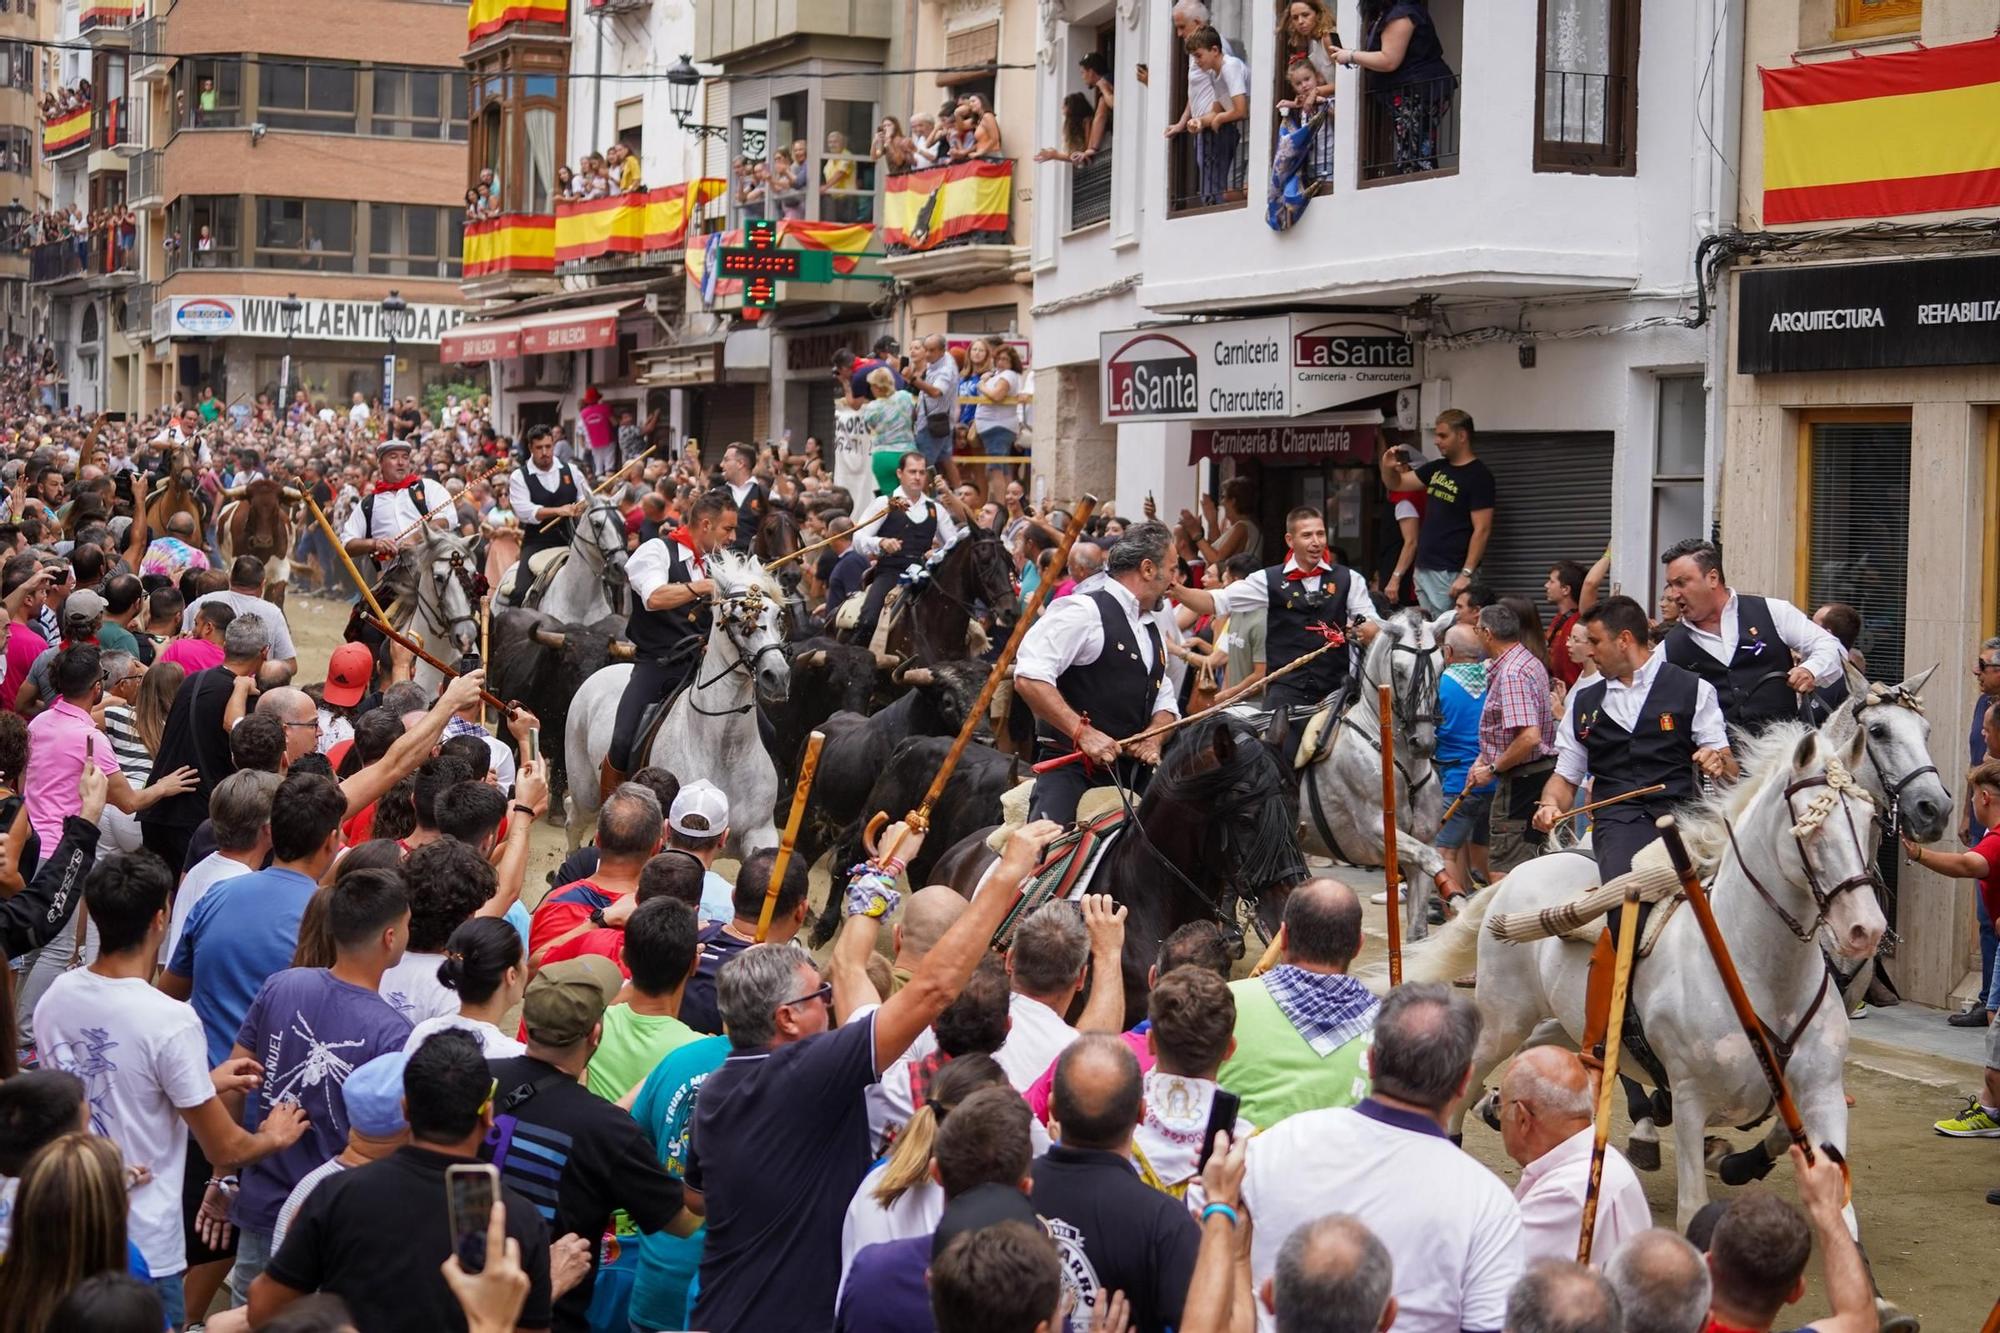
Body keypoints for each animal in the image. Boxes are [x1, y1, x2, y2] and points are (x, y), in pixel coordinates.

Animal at [568, 548, 792, 852]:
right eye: (735, 619)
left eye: (778, 615)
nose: (777, 676)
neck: (725, 748)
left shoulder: (760, 833)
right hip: (585, 791)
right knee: (573, 818)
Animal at [1296, 608, 1440, 940]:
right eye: (1399, 671)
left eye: (1440, 667)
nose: (1423, 743)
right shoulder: (1376, 831)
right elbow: (1433, 859)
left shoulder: (1421, 842)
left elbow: (1417, 930)